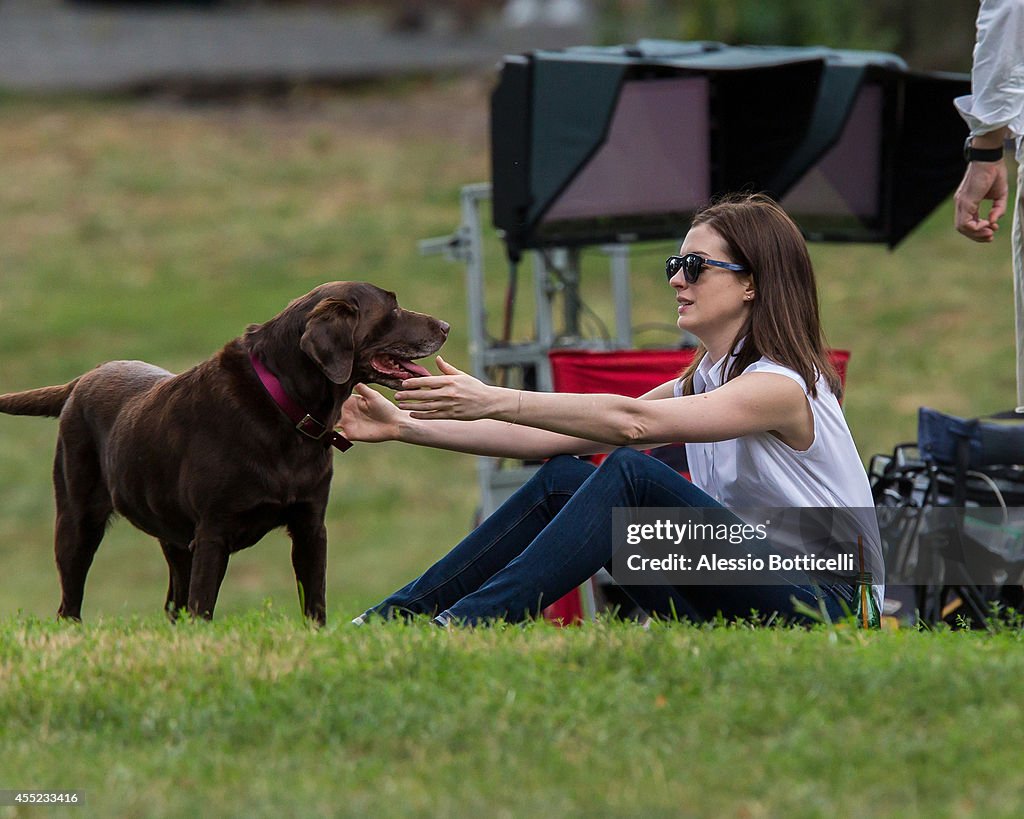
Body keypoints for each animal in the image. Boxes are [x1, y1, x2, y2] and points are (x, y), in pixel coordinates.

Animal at [0, 282, 448, 622]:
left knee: (173, 605)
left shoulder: (310, 526)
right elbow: (204, 608)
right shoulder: (213, 533)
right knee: (70, 604)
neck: (283, 407)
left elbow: (315, 603)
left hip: (174, 539)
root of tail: (82, 379)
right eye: (392, 308)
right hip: (77, 522)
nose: (445, 325)